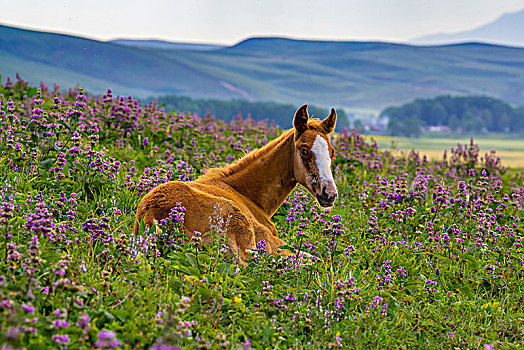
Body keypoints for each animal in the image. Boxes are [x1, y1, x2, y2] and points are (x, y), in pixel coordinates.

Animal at [134, 105, 340, 264]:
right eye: (304, 150)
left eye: (332, 152)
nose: (329, 194)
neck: (245, 193)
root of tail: (152, 214)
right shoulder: (273, 243)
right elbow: (313, 258)